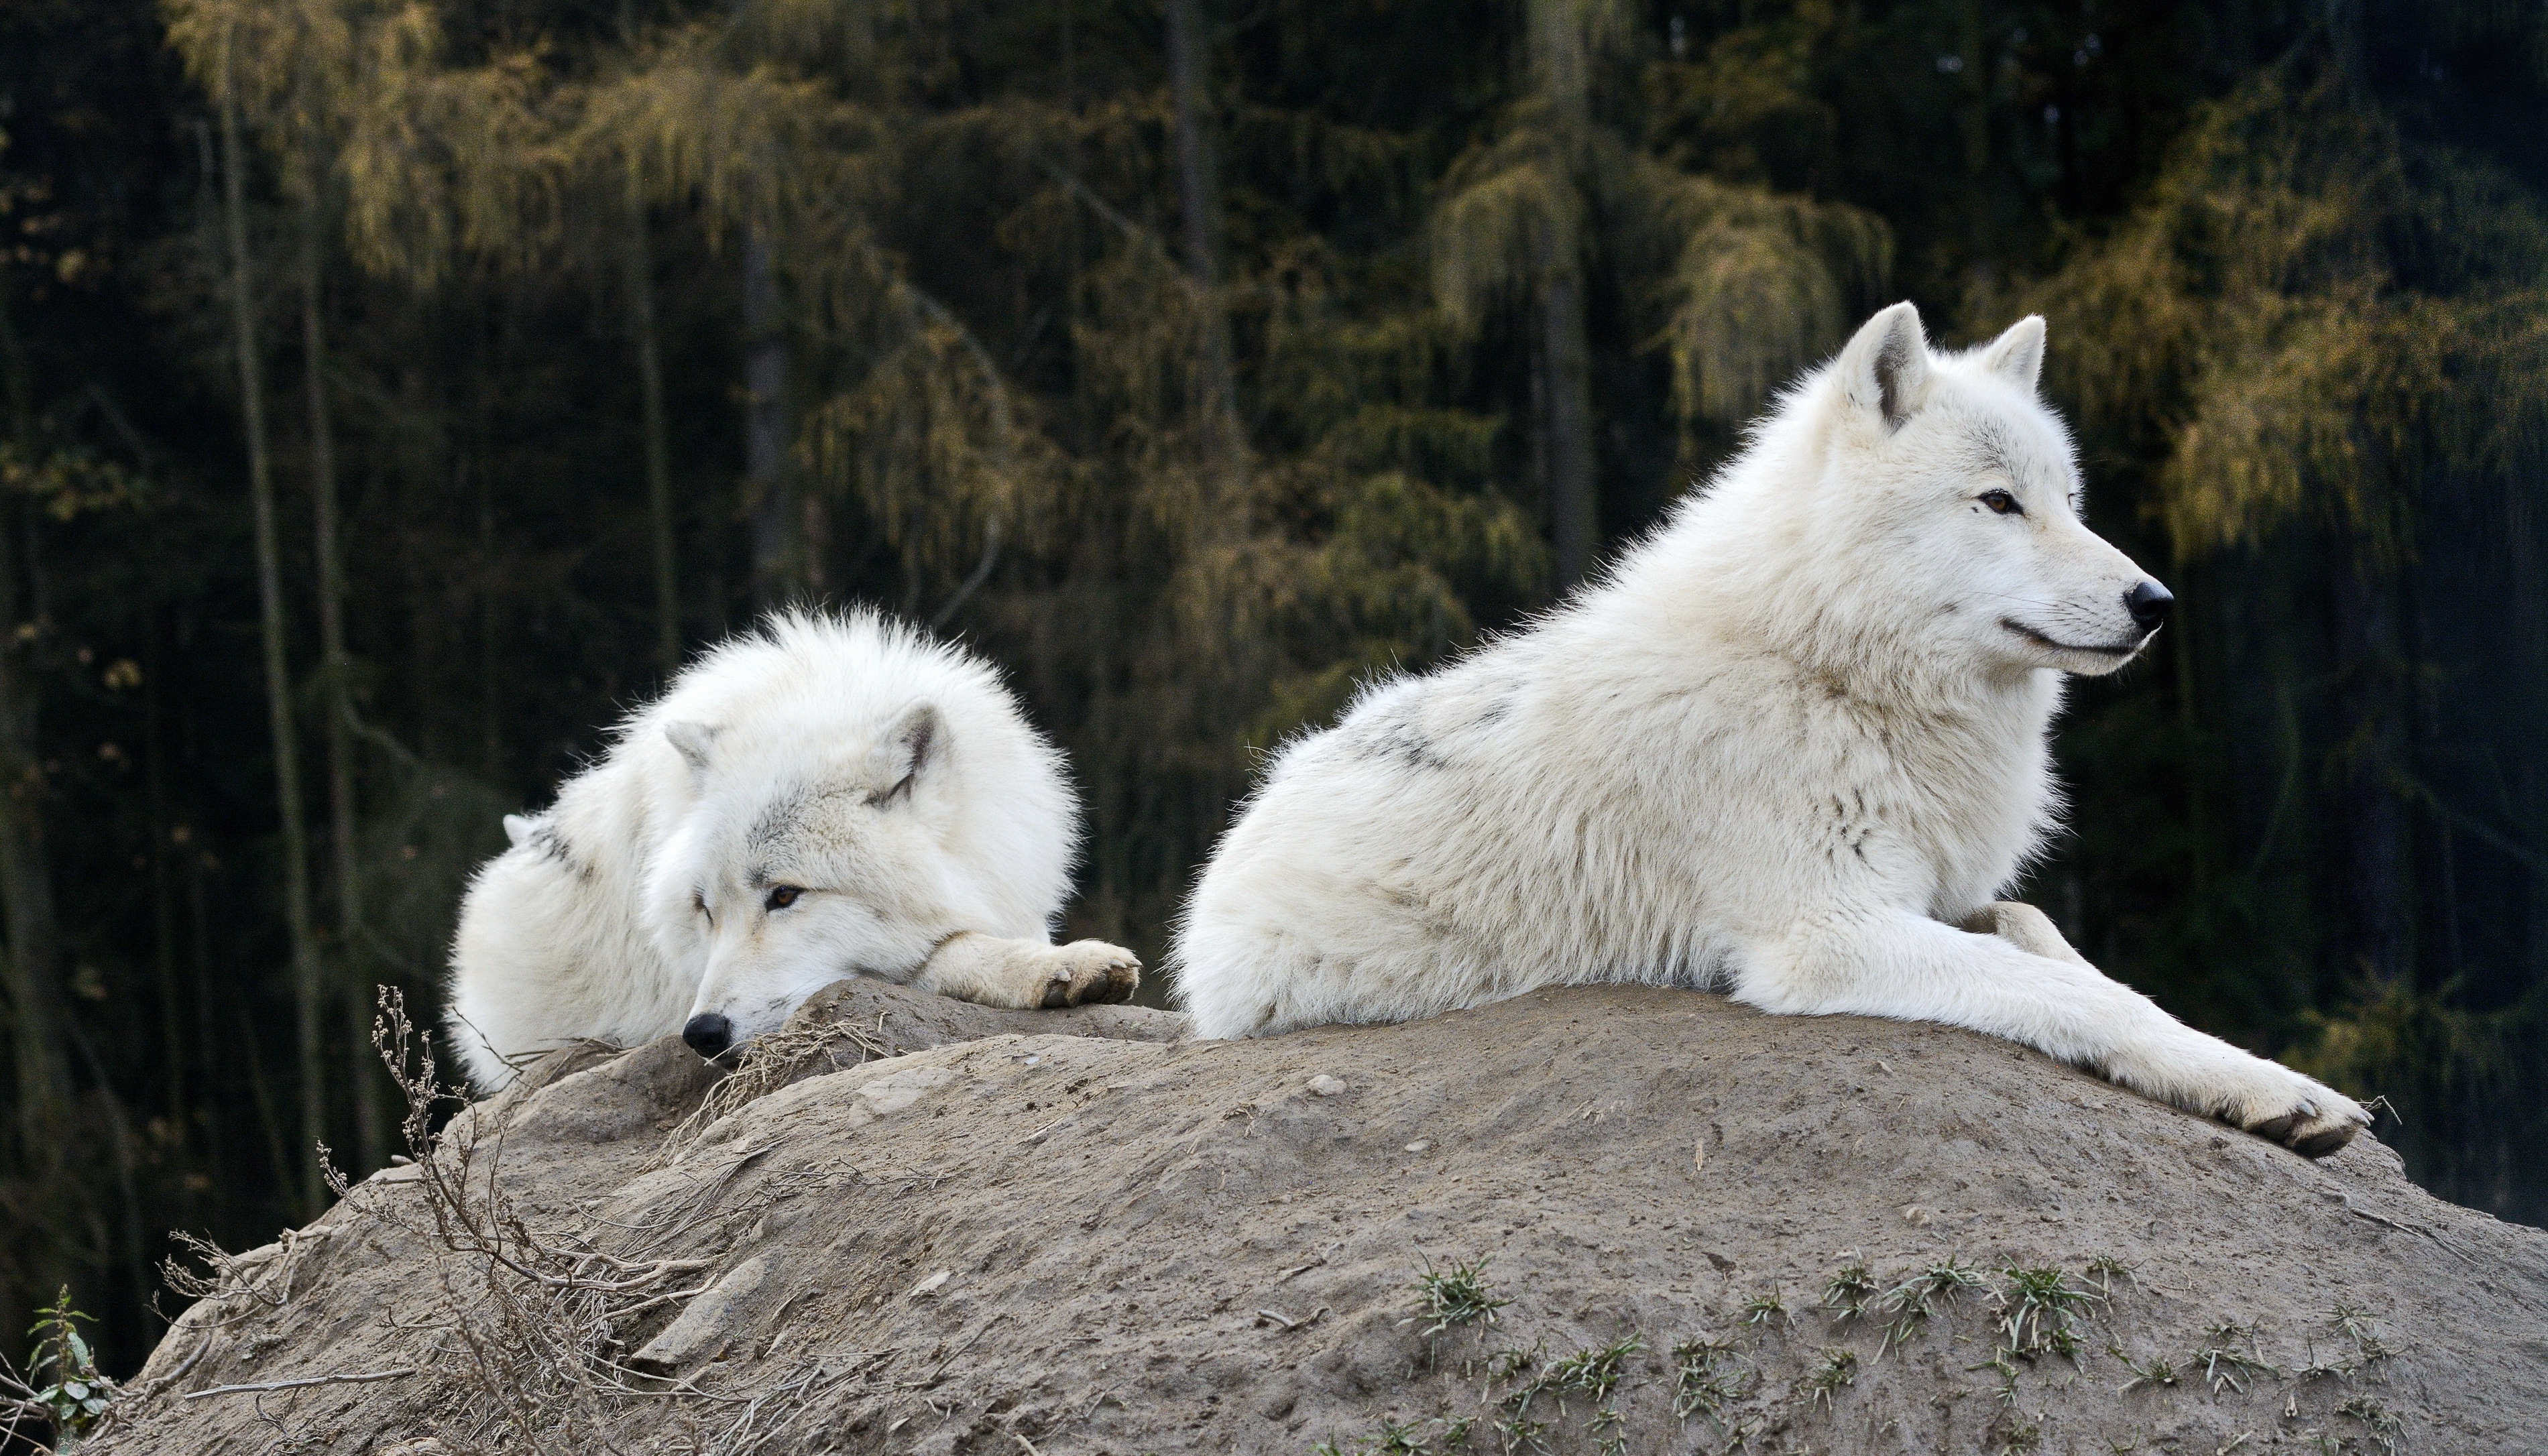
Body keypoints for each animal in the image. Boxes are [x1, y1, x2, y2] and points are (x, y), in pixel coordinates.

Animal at [1173, 302, 2367, 1157]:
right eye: (1998, 502)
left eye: (2070, 503)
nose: (2155, 603)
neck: (1828, 675)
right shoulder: (1826, 935)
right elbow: (2076, 992)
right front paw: (2272, 1087)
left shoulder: (1942, 892)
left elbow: (2058, 945)